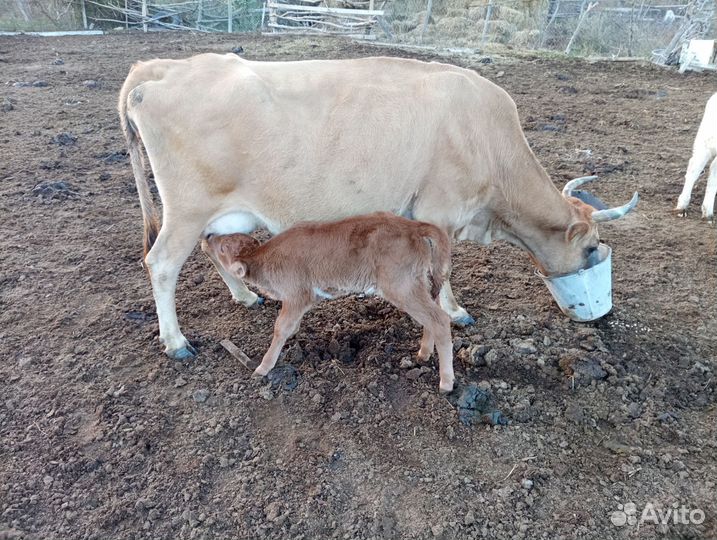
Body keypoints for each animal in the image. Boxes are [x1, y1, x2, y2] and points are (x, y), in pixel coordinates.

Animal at [118, 54, 638, 360]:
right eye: (593, 248)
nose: (600, 315)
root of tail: (160, 68)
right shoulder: (440, 210)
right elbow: (446, 270)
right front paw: (455, 312)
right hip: (187, 209)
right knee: (161, 263)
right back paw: (176, 342)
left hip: (218, 213)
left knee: (214, 248)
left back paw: (245, 296)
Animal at [202, 212, 455, 392]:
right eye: (227, 238)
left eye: (223, 248)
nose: (209, 237)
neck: (264, 259)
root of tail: (414, 226)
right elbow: (290, 325)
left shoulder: (297, 295)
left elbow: (280, 328)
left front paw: (263, 368)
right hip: (418, 283)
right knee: (433, 315)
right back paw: (423, 353)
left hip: (401, 287)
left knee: (440, 320)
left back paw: (446, 383)